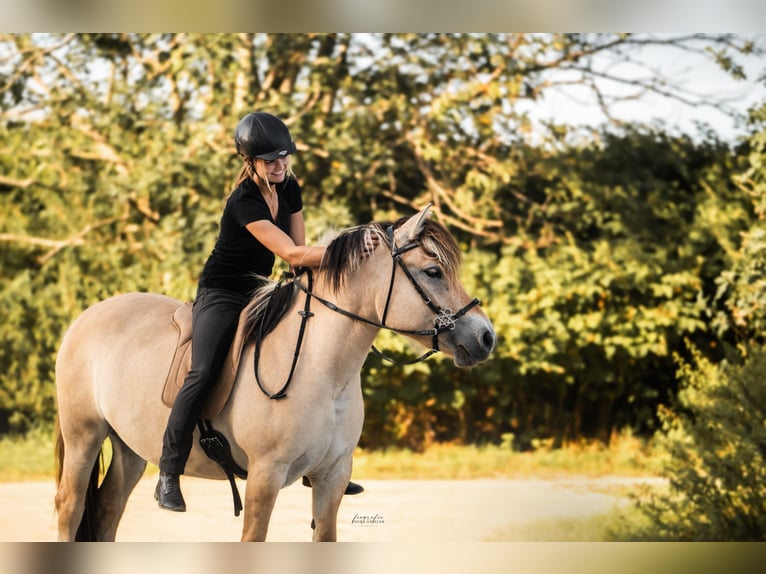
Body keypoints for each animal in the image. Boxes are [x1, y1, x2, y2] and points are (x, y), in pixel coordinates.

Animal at [54, 205, 498, 544]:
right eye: (432, 272)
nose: (486, 337)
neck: (321, 369)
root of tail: (85, 319)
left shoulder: (332, 477)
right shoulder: (264, 477)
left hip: (129, 448)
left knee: (107, 509)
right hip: (84, 437)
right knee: (70, 507)